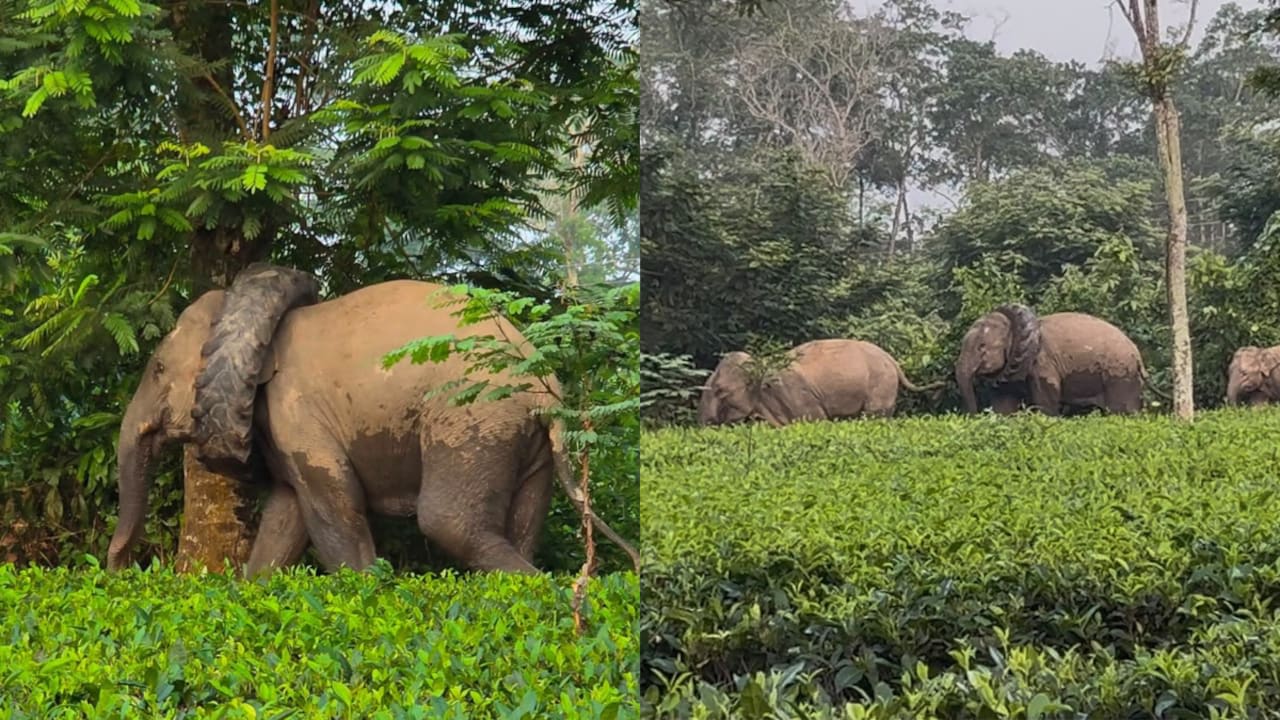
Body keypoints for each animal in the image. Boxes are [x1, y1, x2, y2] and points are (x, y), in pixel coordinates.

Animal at [106, 263, 638, 576]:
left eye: (158, 370)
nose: (118, 570)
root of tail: (544, 383)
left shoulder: (298, 414)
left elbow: (335, 502)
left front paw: (364, 587)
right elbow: (286, 514)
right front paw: (253, 588)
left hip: (472, 418)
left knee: (447, 522)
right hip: (526, 441)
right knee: (523, 523)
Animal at [955, 304, 1163, 416]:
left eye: (981, 347)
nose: (974, 415)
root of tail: (1138, 358)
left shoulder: (1042, 363)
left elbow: (1046, 398)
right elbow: (1003, 403)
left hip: (1119, 376)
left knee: (1122, 410)